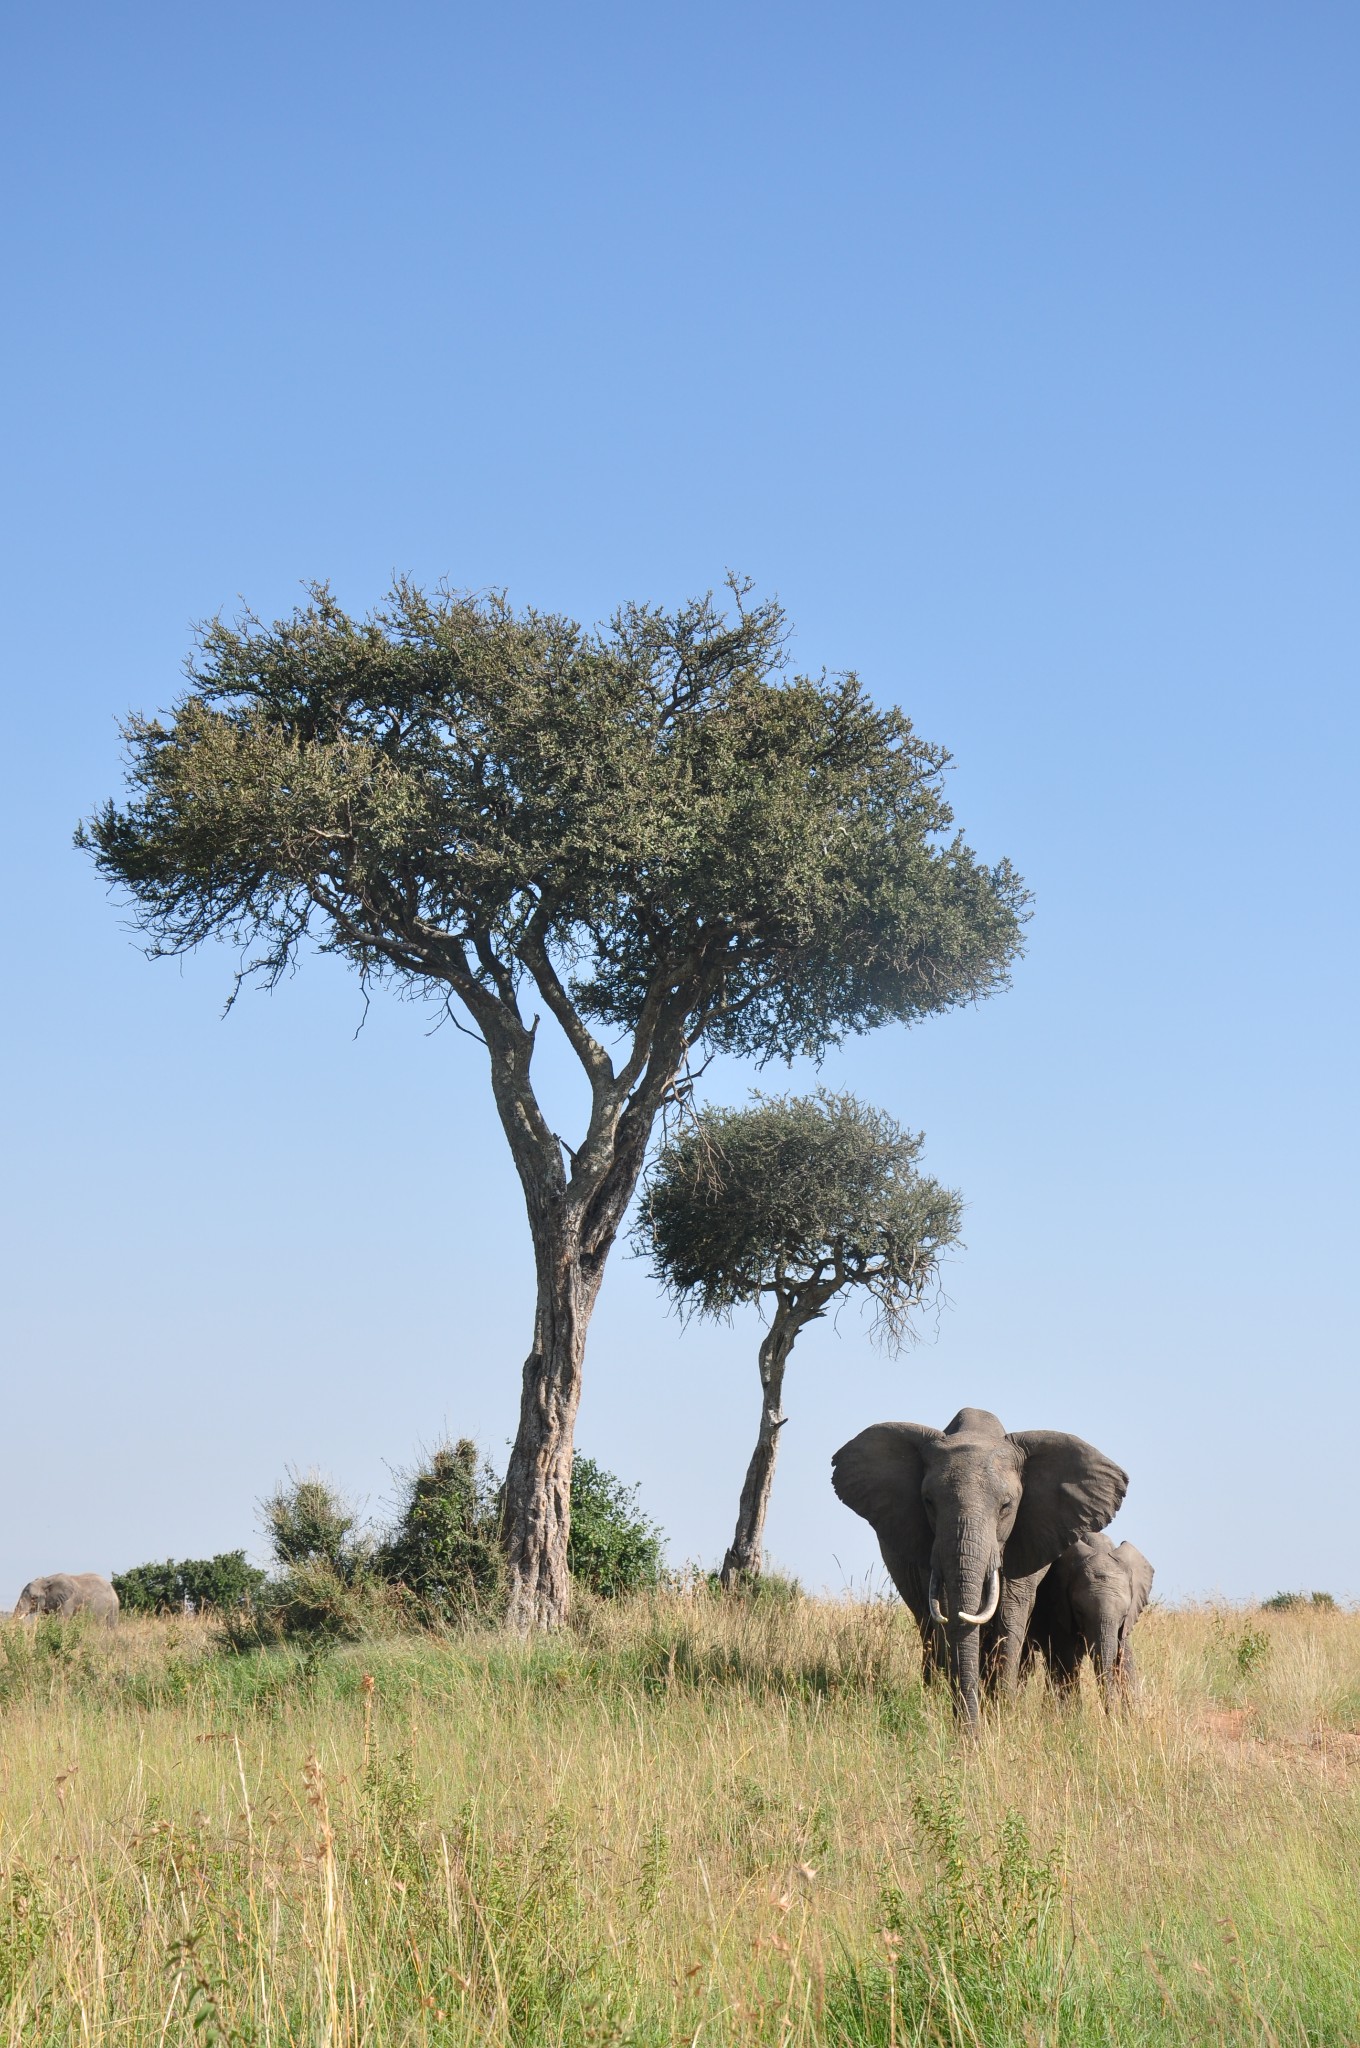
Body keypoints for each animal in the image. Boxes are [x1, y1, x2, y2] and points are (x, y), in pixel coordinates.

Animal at [835, 1409, 1130, 1728]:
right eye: (928, 1502)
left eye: (1006, 1506)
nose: (968, 1734)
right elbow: (946, 1613)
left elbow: (1010, 1616)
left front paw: (1002, 1718)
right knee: (927, 1627)